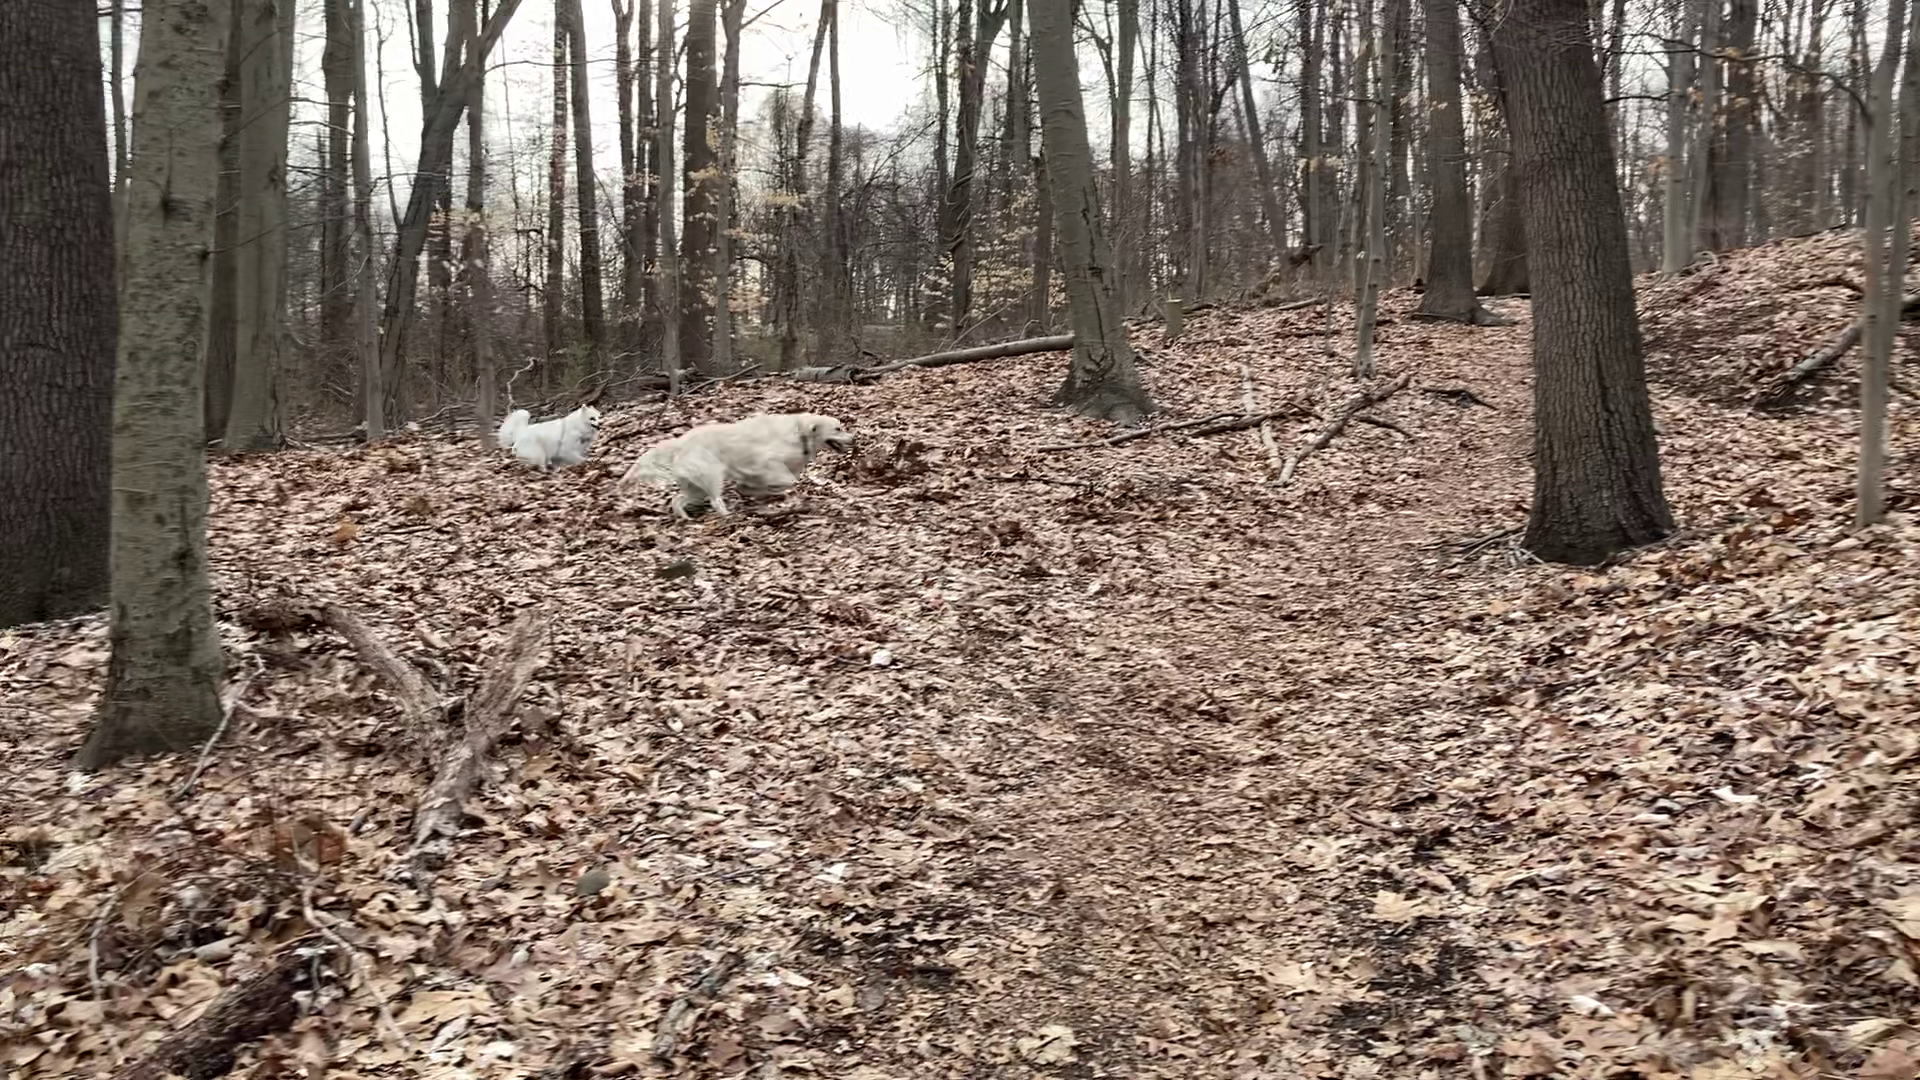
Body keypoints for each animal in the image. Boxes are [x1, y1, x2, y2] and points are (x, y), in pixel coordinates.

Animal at [622, 409, 856, 515]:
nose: (854, 438)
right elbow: (787, 481)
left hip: (695, 487)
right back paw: (728, 516)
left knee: (677, 500)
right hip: (713, 475)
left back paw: (684, 518)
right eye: (838, 428)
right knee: (715, 500)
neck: (800, 433)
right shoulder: (765, 462)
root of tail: (680, 443)